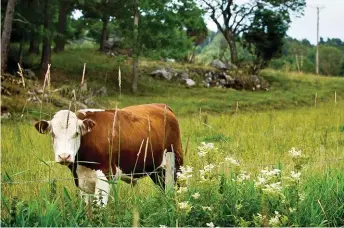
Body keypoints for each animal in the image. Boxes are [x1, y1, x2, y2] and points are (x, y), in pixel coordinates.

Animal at [34, 103, 184, 205]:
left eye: (76, 133)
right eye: (53, 134)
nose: (64, 156)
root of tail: (162, 105)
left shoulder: (105, 174)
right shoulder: (82, 180)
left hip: (176, 164)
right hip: (156, 170)